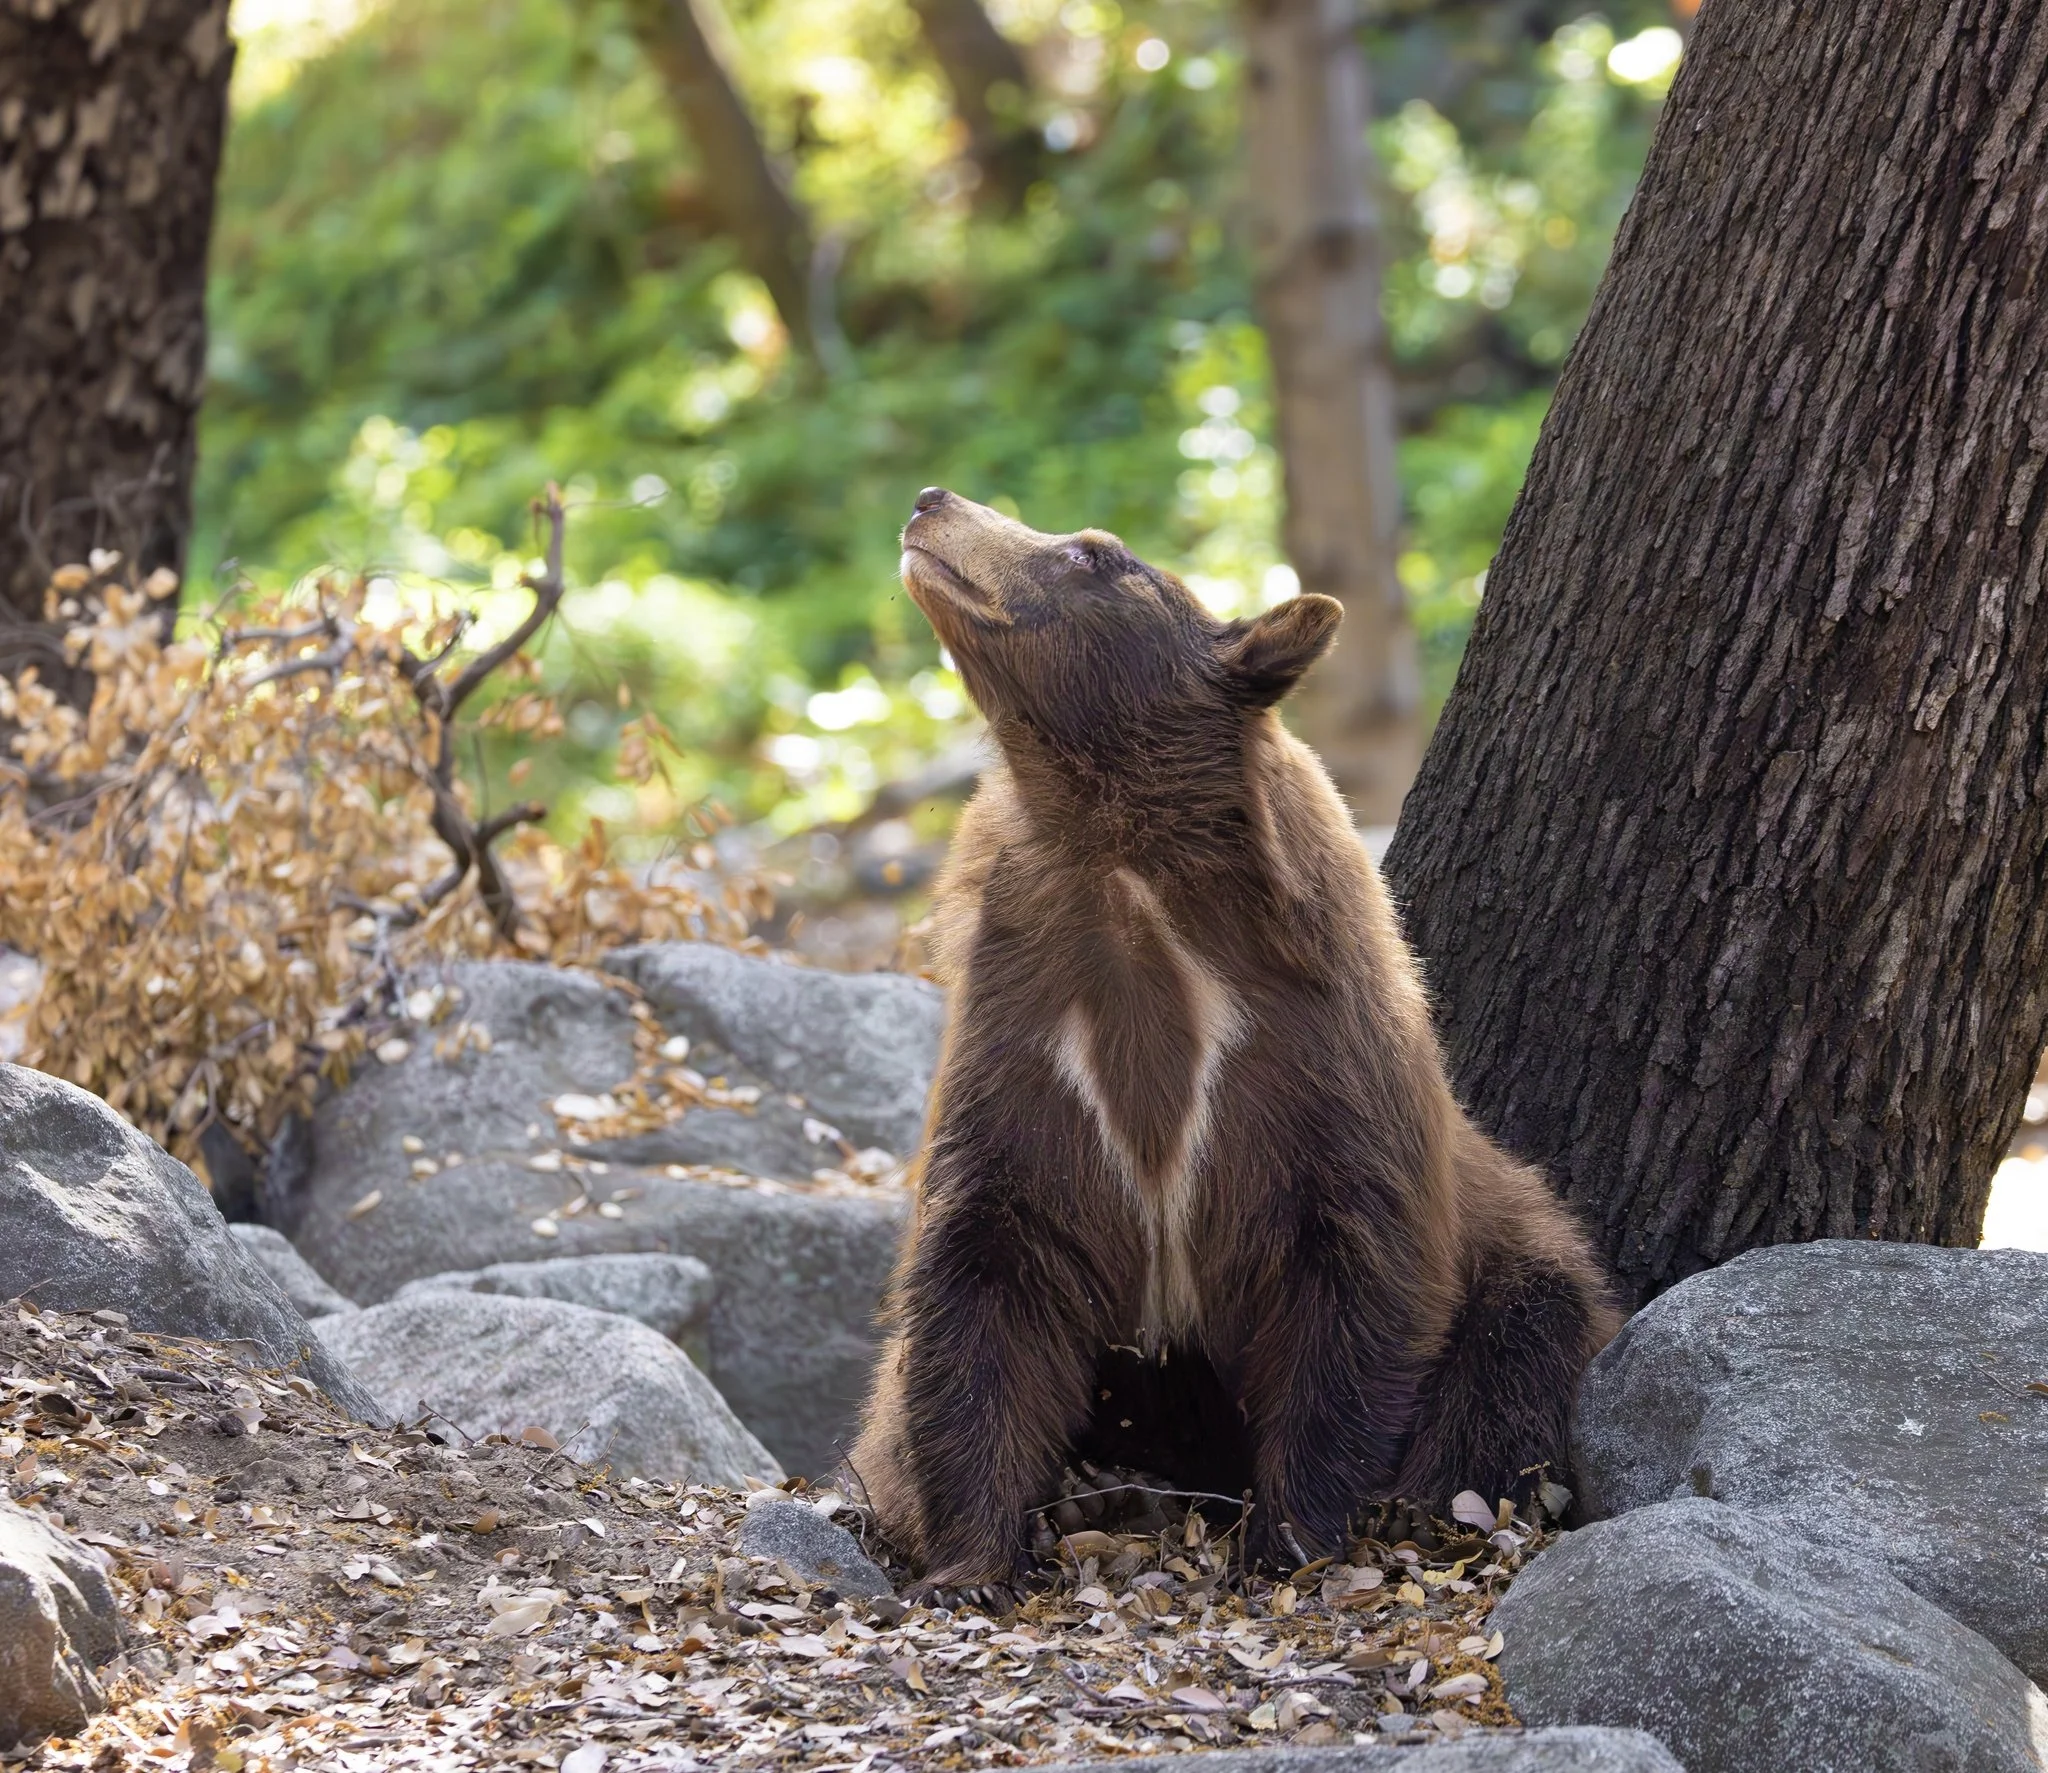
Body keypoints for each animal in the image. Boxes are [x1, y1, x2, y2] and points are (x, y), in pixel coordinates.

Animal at [848, 486, 1619, 1597]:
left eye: (1096, 552)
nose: (931, 501)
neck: (1127, 881)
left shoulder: (1314, 1062)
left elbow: (1354, 1279)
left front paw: (1285, 1536)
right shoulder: (1027, 1041)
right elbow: (981, 1276)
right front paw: (972, 1556)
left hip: (1529, 1267)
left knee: (1514, 1364)